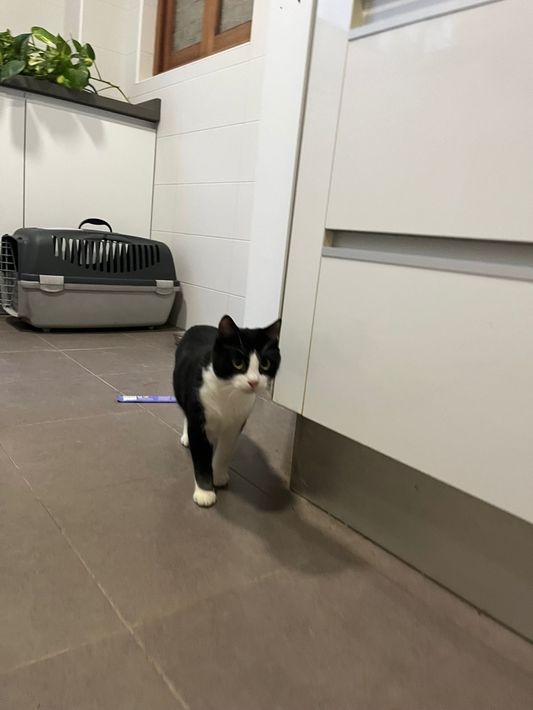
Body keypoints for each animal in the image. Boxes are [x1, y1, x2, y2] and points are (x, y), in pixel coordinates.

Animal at [173, 314, 281, 507]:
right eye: (238, 363)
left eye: (265, 364)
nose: (253, 382)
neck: (228, 393)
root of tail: (197, 326)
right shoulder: (198, 416)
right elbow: (201, 456)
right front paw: (205, 492)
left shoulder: (236, 424)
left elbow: (224, 451)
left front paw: (218, 476)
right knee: (185, 412)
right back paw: (186, 437)